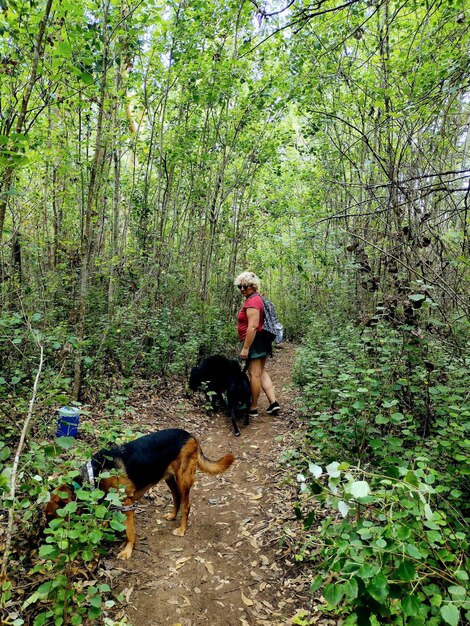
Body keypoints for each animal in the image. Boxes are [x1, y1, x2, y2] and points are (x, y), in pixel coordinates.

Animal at [46, 426, 235, 560]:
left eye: (52, 516)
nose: (46, 536)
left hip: (183, 479)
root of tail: (190, 435)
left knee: (186, 504)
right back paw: (172, 515)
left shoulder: (126, 504)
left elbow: (130, 533)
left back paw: (182, 528)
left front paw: (127, 551)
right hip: (168, 478)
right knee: (176, 498)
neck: (95, 474)